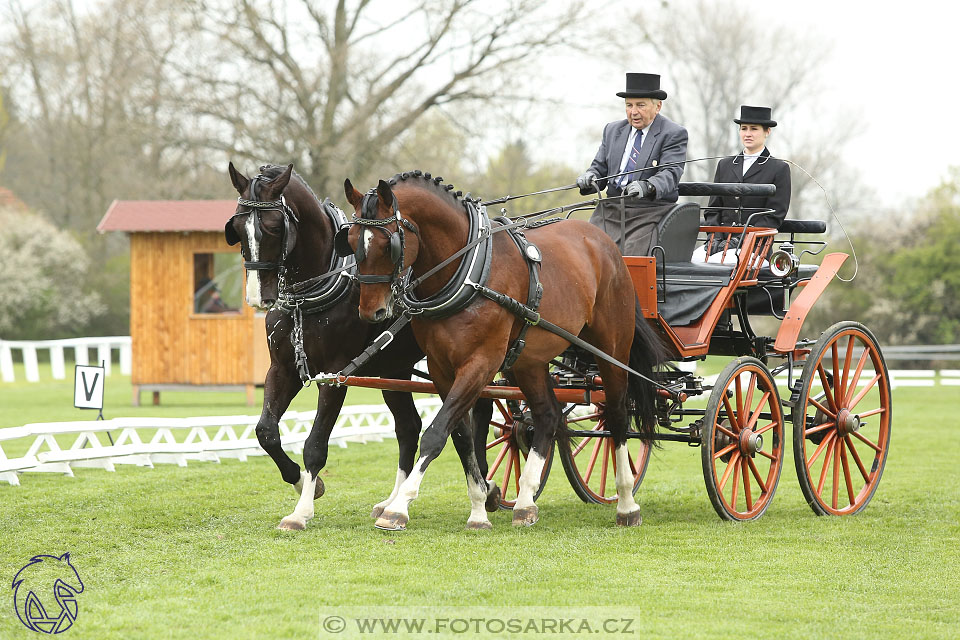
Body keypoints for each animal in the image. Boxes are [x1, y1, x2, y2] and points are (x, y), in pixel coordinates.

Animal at [221, 164, 432, 528]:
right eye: (236, 228)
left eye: (274, 226)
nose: (258, 297)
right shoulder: (283, 369)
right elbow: (266, 431)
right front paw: (302, 481)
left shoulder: (335, 376)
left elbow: (316, 444)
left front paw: (301, 511)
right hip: (395, 370)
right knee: (408, 428)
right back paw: (391, 503)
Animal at [340, 171, 668, 528]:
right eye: (351, 239)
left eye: (388, 244)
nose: (371, 312)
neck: (469, 271)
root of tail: (606, 244)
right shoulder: (441, 368)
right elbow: (461, 437)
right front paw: (479, 506)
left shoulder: (481, 363)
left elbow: (436, 432)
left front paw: (399, 507)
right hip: (529, 360)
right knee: (548, 415)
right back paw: (525, 501)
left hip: (612, 348)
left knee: (618, 415)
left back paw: (626, 504)